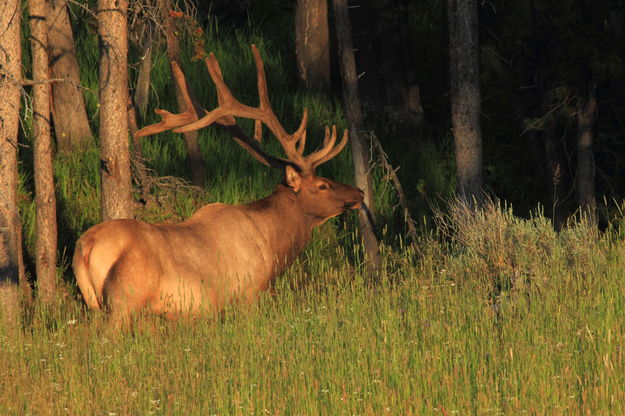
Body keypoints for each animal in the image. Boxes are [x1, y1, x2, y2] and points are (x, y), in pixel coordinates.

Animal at [73, 46, 364, 324]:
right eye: (323, 185)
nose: (359, 192)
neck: (274, 245)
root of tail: (86, 247)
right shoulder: (248, 293)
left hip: (94, 304)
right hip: (125, 300)